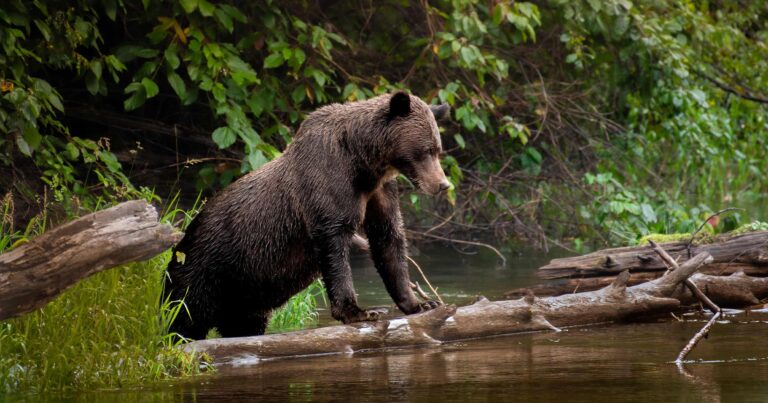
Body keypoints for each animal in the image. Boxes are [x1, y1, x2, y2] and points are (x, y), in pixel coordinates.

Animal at [163, 91, 451, 339]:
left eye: (437, 149)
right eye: (425, 150)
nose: (443, 184)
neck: (363, 164)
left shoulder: (380, 191)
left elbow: (388, 240)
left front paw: (422, 303)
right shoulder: (326, 183)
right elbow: (334, 246)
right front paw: (361, 311)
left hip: (243, 297)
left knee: (242, 324)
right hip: (206, 270)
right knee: (183, 317)